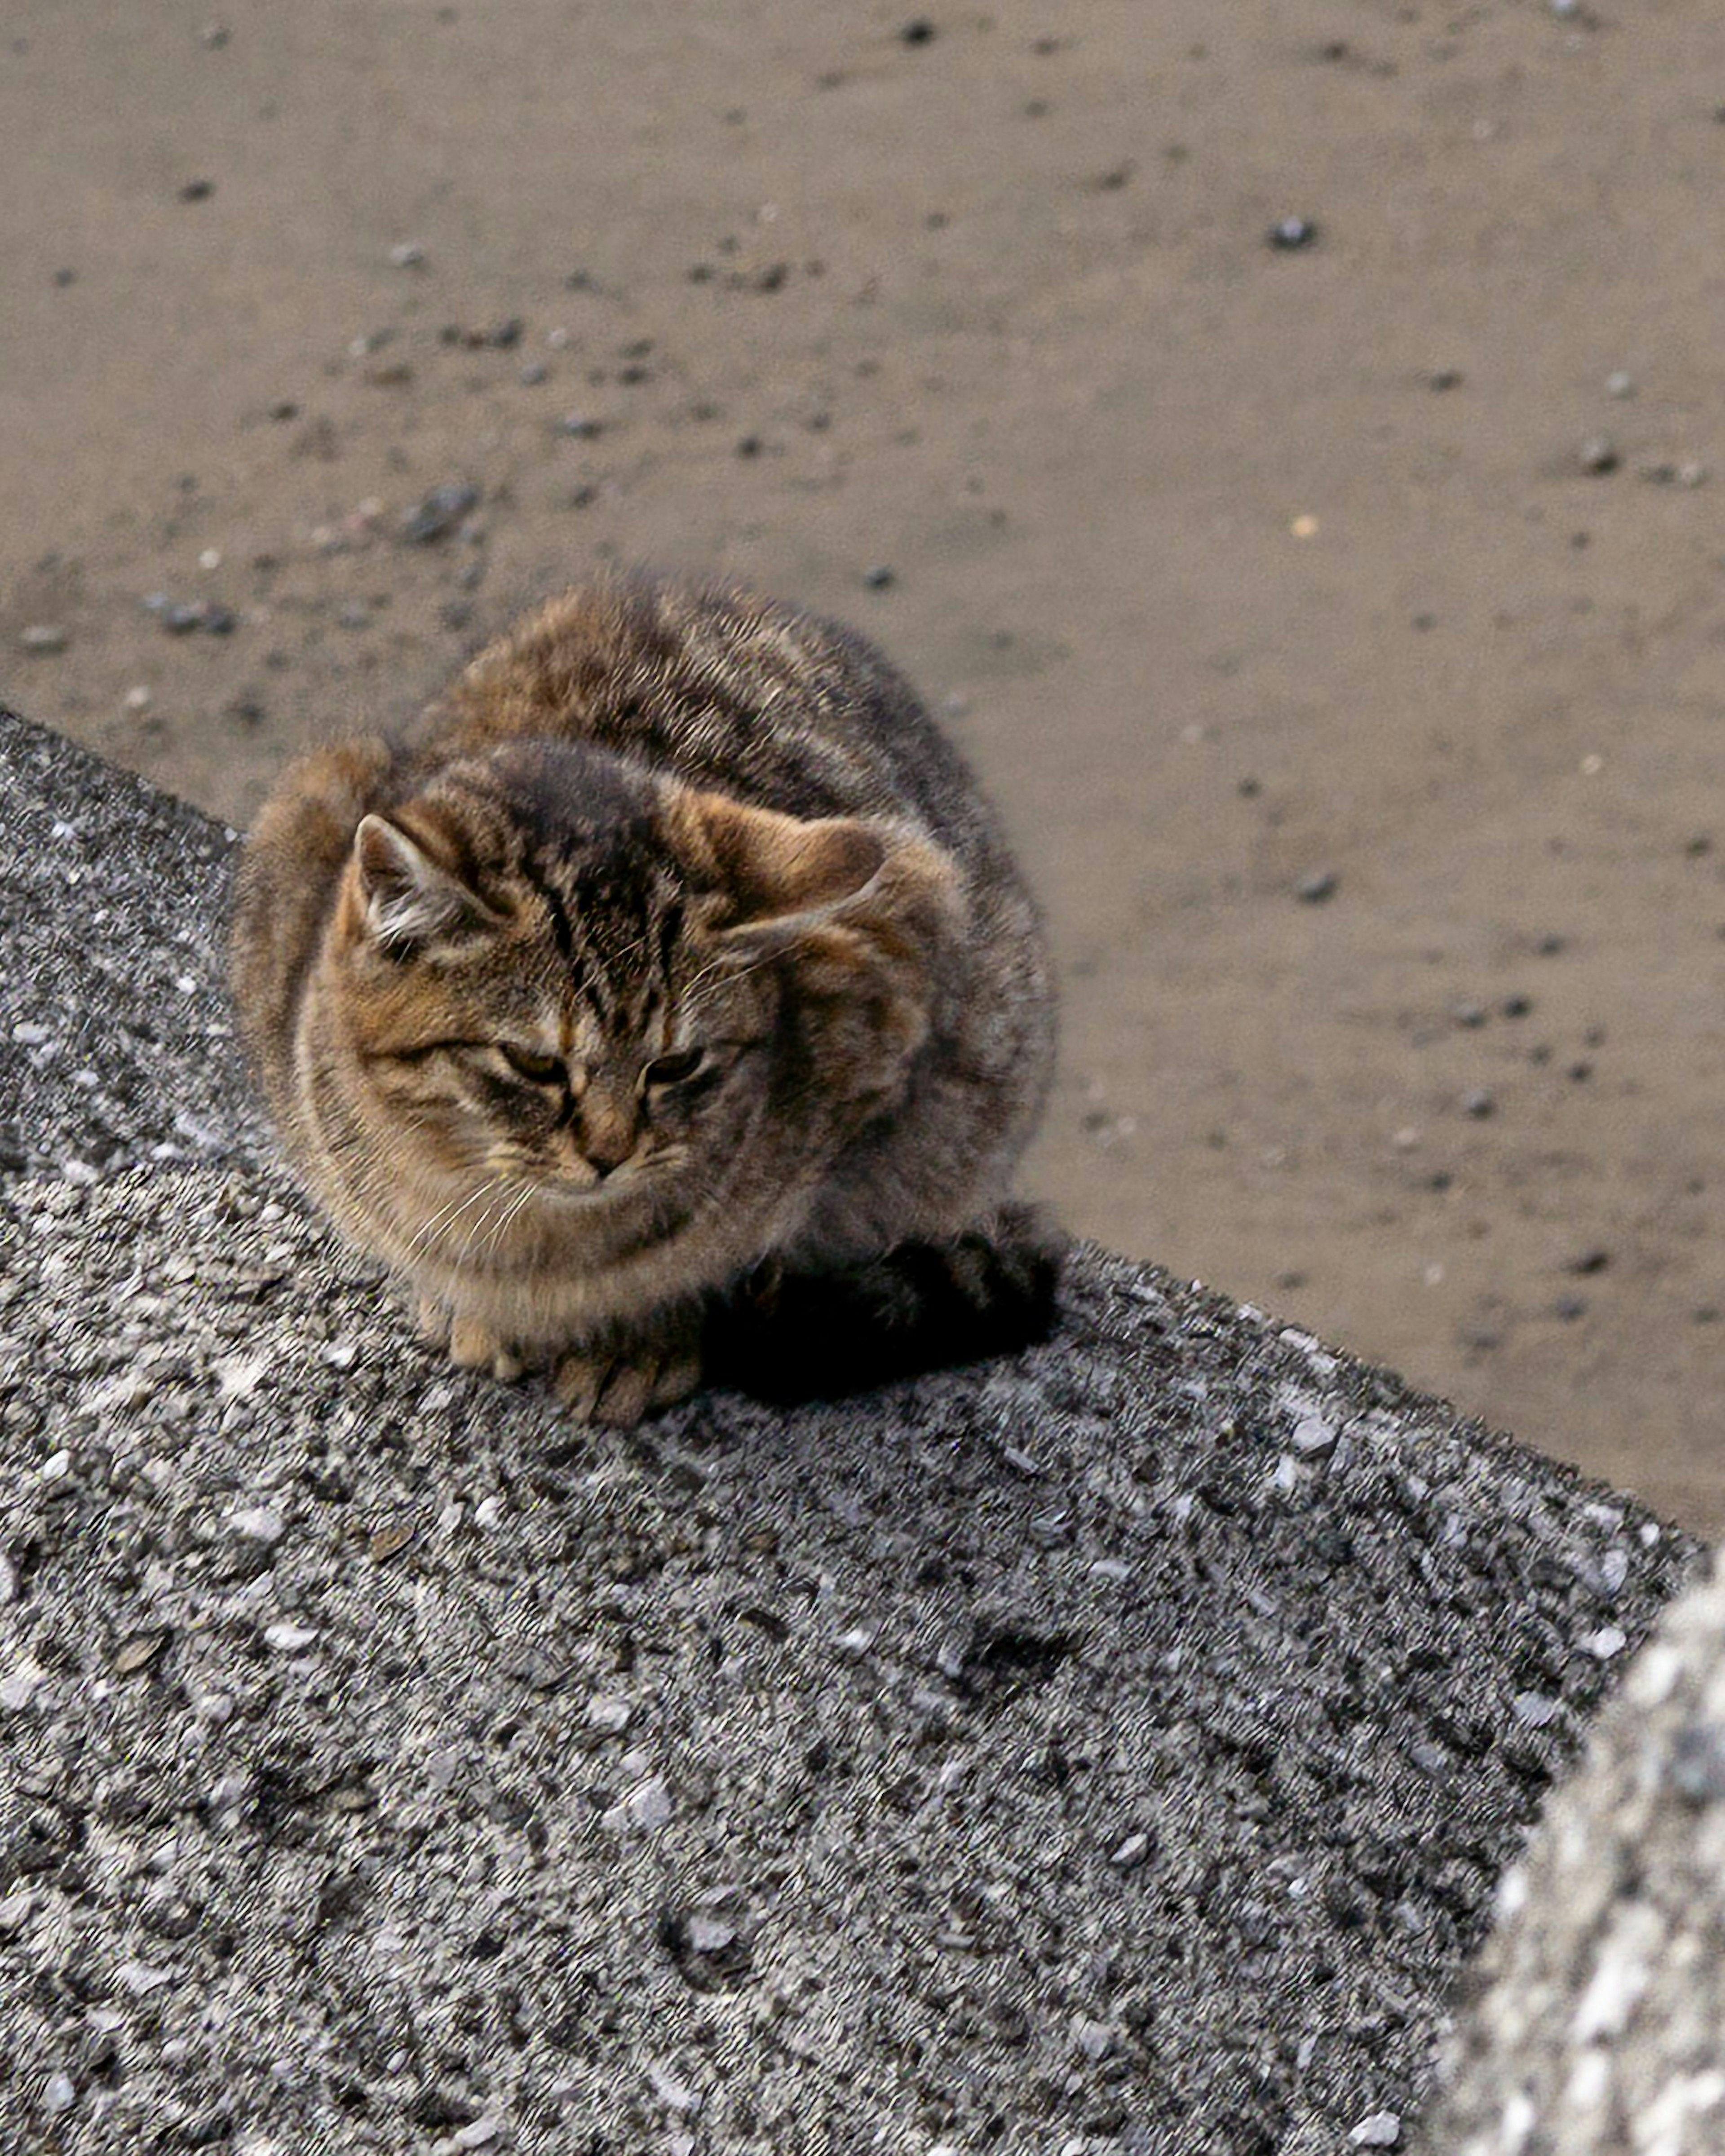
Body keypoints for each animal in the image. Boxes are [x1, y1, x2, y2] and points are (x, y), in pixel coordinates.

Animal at [233, 573, 1065, 1423]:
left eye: (675, 1065)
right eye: (534, 1063)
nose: (610, 1154)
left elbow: (737, 1249)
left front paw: (643, 1336)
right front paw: (478, 1309)